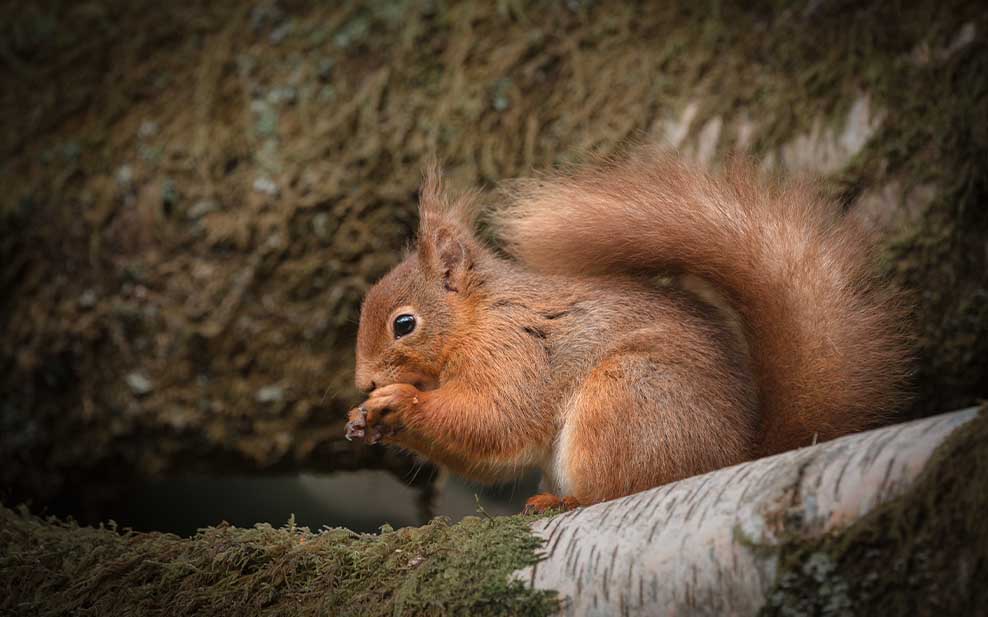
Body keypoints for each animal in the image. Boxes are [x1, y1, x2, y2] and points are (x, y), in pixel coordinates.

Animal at [346, 148, 912, 510]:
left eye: (404, 324)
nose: (364, 383)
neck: (479, 317)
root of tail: (733, 457)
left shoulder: (515, 351)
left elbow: (495, 419)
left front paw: (400, 402)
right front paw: (366, 418)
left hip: (627, 397)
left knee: (616, 488)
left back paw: (565, 500)